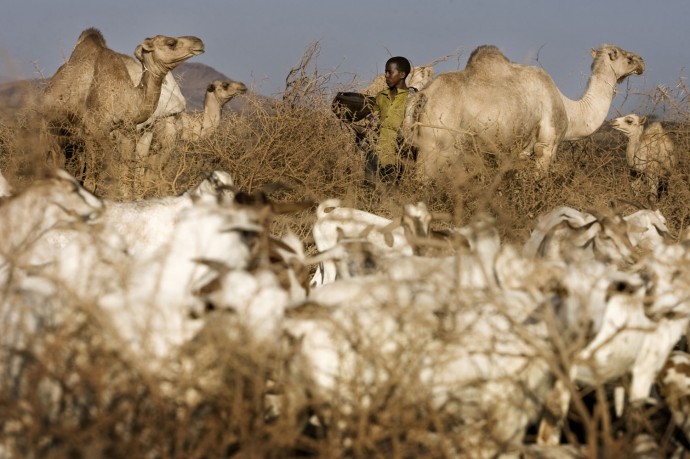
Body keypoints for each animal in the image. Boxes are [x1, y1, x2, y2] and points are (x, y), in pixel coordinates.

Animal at [406, 43, 644, 180]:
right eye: (628, 58)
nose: (642, 62)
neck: (570, 109)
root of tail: (424, 95)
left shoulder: (518, 152)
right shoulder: (546, 146)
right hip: (438, 145)